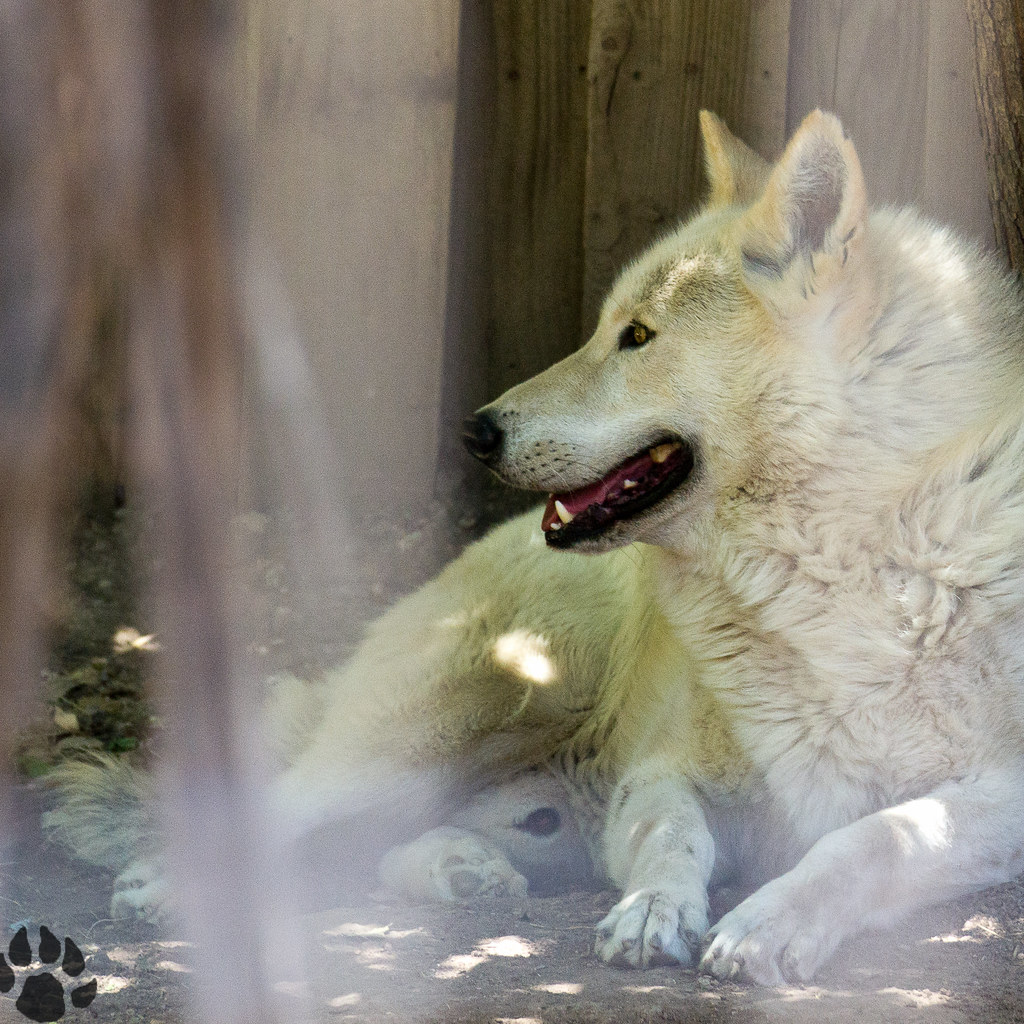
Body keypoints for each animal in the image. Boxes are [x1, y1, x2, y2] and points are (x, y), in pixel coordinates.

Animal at [46, 110, 1024, 986]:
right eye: (604, 326)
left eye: (638, 337)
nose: (476, 431)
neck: (846, 559)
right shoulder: (666, 774)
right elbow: (673, 836)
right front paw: (653, 911)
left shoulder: (998, 796)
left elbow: (879, 836)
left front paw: (766, 924)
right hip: (472, 710)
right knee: (274, 812)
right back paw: (170, 886)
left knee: (367, 851)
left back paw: (462, 871)